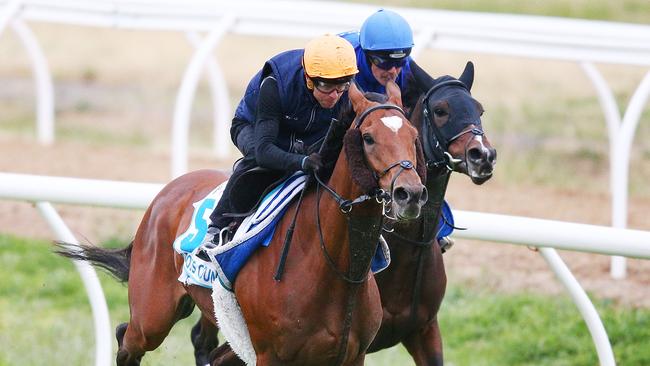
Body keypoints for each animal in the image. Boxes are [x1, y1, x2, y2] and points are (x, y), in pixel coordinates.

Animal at [55, 81, 428, 366]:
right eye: (368, 137)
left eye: (413, 135)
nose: (409, 193)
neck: (333, 266)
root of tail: (166, 193)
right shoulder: (270, 356)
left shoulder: (350, 355)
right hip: (153, 315)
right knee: (126, 339)